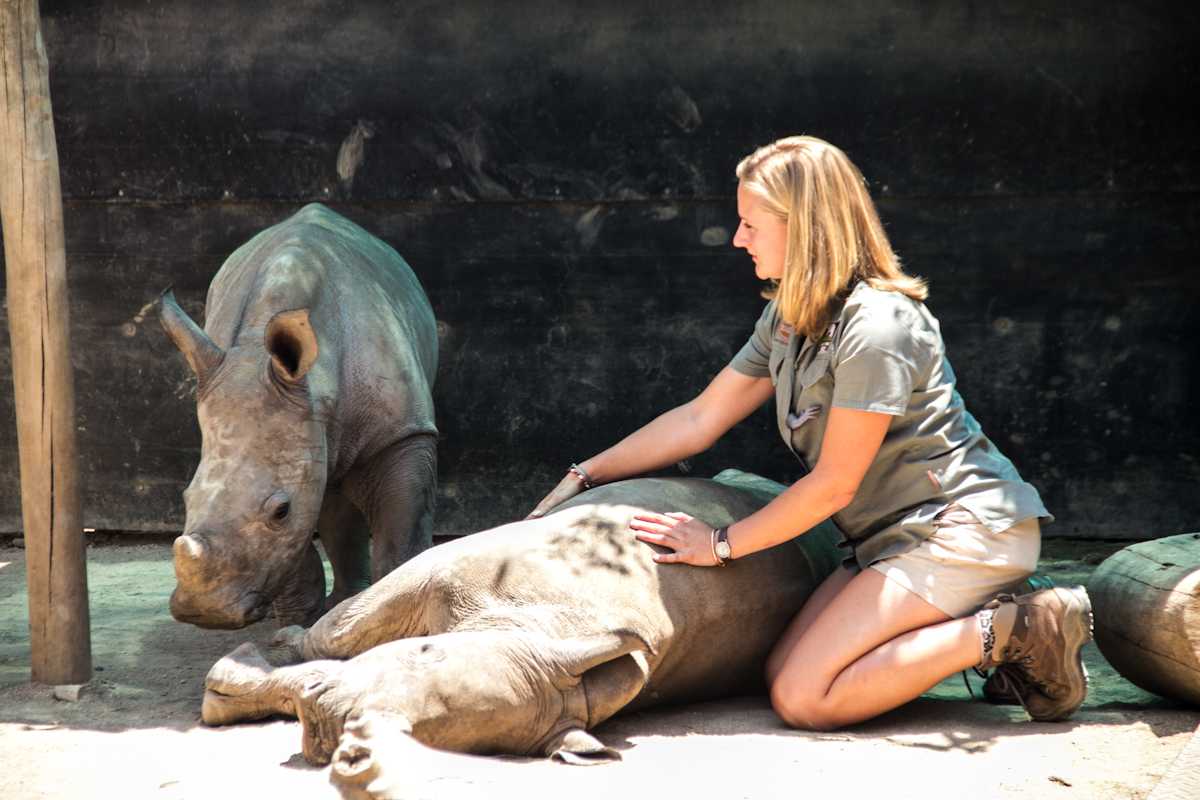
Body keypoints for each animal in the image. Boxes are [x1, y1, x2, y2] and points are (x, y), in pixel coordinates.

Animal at [159, 203, 438, 629]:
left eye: (280, 510)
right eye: (185, 499)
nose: (204, 610)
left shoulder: (402, 433)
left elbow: (399, 540)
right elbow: (295, 548)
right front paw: (296, 625)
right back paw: (340, 603)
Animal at [201, 471, 842, 798]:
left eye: (429, 735)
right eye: (425, 653)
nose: (330, 729)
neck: (536, 631)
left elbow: (335, 651)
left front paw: (235, 682)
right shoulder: (454, 572)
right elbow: (338, 634)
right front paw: (268, 656)